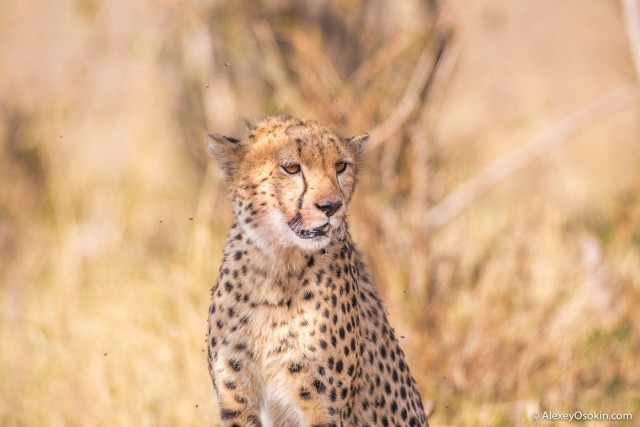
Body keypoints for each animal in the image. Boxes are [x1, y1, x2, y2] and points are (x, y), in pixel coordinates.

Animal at [208, 117, 428, 427]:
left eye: (340, 166)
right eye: (291, 168)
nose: (331, 206)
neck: (276, 266)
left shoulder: (324, 409)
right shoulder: (237, 402)